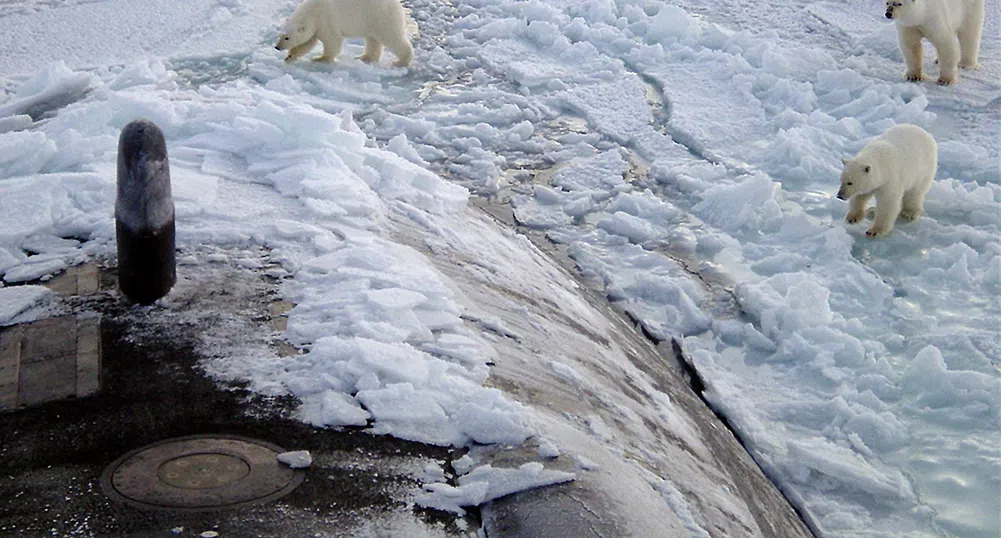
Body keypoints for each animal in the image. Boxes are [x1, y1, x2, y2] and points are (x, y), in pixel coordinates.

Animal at [272, 0, 412, 67]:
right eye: (280, 35)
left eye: (287, 38)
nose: (277, 47)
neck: (313, 11)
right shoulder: (316, 25)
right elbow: (307, 42)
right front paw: (289, 57)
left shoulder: (326, 21)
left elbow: (332, 41)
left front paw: (319, 58)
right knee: (372, 39)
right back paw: (364, 57)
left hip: (381, 16)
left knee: (392, 37)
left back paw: (401, 61)